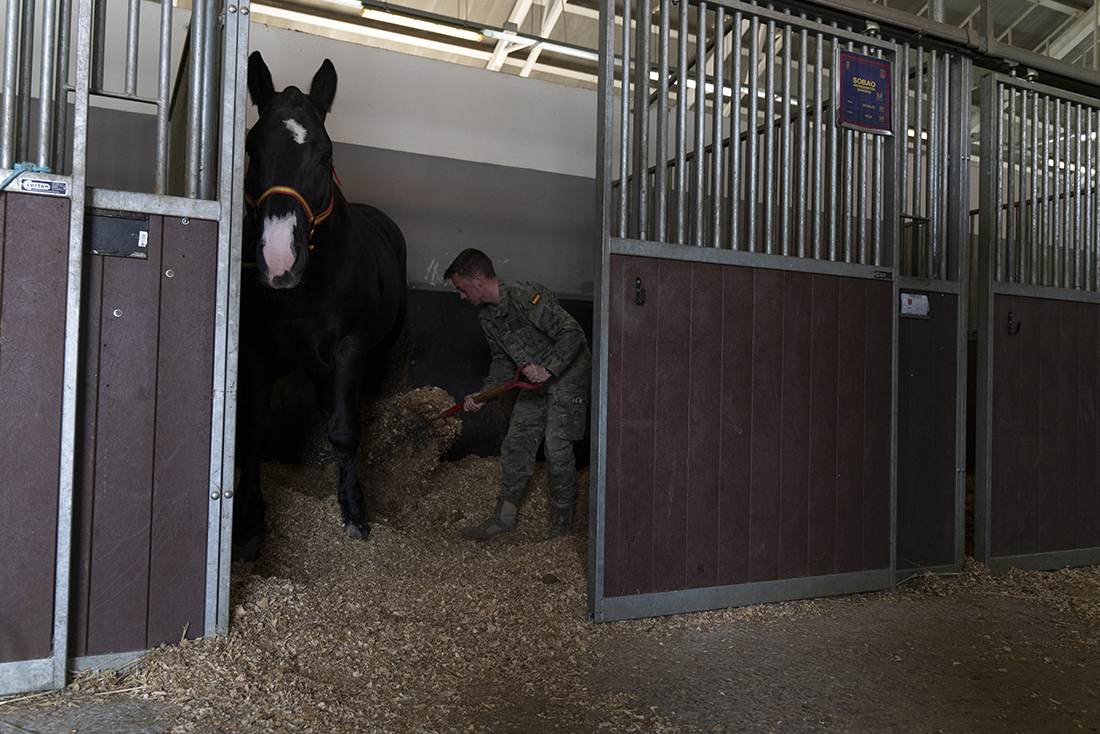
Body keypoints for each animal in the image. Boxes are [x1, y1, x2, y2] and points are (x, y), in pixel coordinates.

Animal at [233, 51, 407, 561]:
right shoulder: (254, 347)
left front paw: (354, 511)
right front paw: (248, 519)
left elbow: (345, 428)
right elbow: (256, 429)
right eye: (251, 149)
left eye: (326, 155)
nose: (278, 259)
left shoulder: (351, 346)